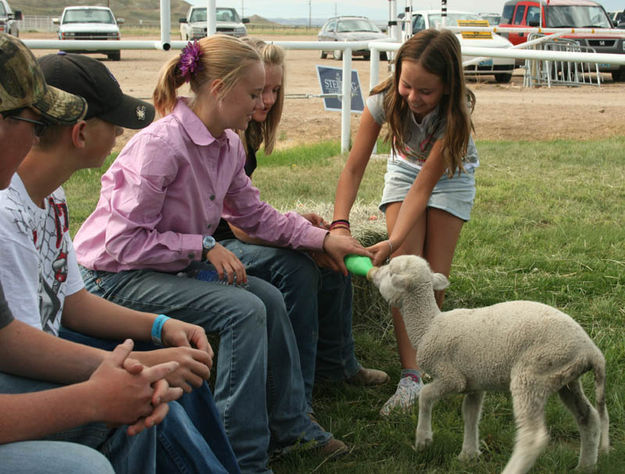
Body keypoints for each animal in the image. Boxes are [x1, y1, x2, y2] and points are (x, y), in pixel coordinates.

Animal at [368, 256, 608, 474]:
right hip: (565, 376)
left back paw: (513, 468)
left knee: (533, 436)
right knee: (589, 418)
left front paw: (423, 439)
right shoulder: (474, 383)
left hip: (533, 373)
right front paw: (468, 455)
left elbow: (426, 395)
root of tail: (591, 350)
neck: (428, 326)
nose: (372, 272)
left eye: (390, 271)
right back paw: (586, 466)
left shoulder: (451, 377)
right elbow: (470, 414)